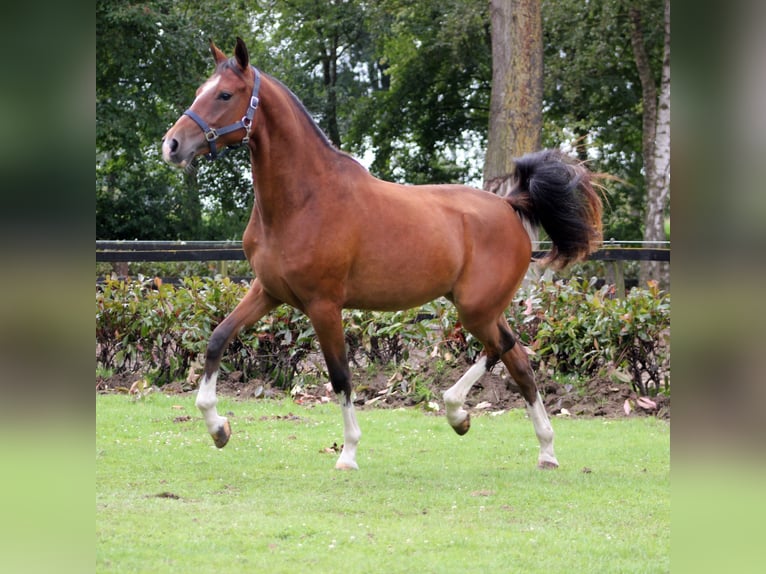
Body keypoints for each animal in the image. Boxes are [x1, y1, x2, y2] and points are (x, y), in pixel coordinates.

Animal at [164, 37, 608, 472]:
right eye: (200, 90)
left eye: (225, 94)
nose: (172, 145)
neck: (304, 200)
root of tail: (510, 205)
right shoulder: (268, 291)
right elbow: (218, 339)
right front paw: (218, 428)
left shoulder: (324, 305)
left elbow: (340, 376)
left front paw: (348, 453)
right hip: (482, 308)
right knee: (518, 360)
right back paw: (541, 448)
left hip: (476, 309)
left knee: (505, 347)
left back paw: (459, 412)